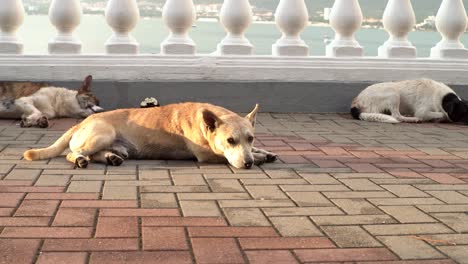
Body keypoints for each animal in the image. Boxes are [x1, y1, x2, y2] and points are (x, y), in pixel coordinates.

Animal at [23, 102, 276, 168]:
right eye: (230, 141)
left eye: (250, 138)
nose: (248, 163)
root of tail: (80, 123)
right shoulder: (206, 155)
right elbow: (223, 156)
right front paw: (259, 157)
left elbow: (258, 149)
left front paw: (263, 152)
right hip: (102, 134)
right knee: (73, 153)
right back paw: (79, 160)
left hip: (110, 143)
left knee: (97, 154)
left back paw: (110, 158)